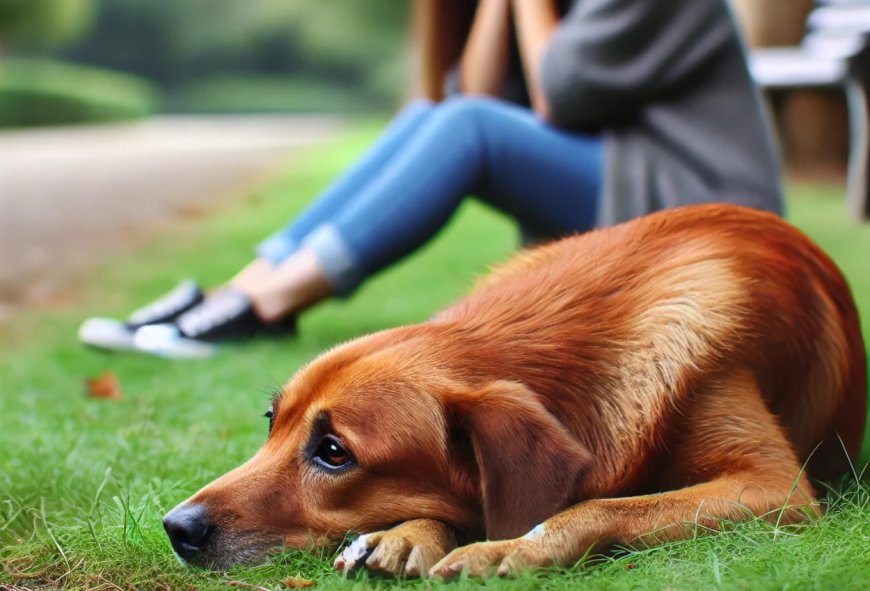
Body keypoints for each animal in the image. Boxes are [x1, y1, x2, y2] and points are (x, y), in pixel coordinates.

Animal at [162, 204, 864, 580]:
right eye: (271, 422)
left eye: (334, 452)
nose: (175, 527)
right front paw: (407, 532)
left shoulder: (775, 489)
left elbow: (595, 506)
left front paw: (509, 545)